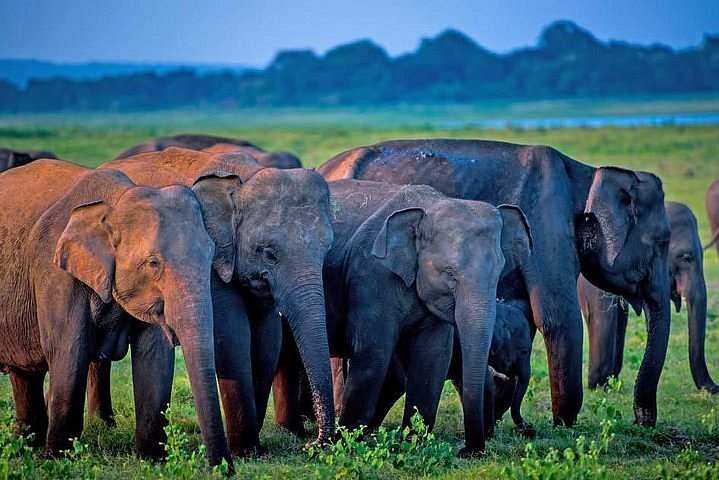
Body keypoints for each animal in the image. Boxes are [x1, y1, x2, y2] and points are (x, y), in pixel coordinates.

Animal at [0, 159, 231, 467]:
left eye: (210, 255)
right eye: (153, 263)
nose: (224, 468)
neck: (117, 200)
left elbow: (154, 356)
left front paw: (152, 460)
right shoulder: (55, 273)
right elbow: (69, 351)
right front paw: (57, 461)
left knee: (25, 373)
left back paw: (26, 443)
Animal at [92, 147, 335, 455]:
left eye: (327, 249)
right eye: (269, 254)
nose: (312, 443)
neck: (243, 178)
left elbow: (266, 341)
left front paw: (253, 448)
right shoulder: (211, 268)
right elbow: (233, 339)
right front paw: (245, 451)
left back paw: (103, 424)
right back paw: (102, 426)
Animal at [272, 179, 532, 455]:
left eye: (498, 272)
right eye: (449, 273)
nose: (467, 450)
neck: (430, 205)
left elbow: (433, 356)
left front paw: (412, 442)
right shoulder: (371, 277)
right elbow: (373, 352)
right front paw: (345, 442)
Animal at [318, 139, 672, 433]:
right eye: (661, 243)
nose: (642, 421)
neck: (585, 174)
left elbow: (525, 315)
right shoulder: (547, 225)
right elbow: (556, 316)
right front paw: (564, 423)